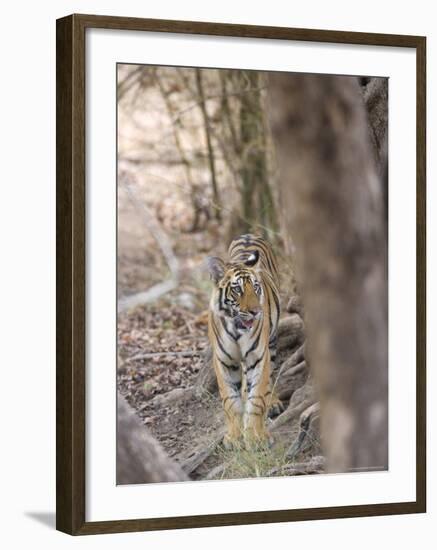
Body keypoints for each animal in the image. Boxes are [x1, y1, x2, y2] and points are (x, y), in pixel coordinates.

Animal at [207, 233, 282, 448]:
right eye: (237, 290)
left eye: (256, 288)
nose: (256, 312)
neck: (236, 330)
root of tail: (248, 234)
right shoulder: (223, 360)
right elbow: (230, 400)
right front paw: (234, 437)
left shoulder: (258, 357)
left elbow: (256, 397)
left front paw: (255, 437)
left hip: (271, 342)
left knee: (270, 375)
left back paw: (273, 403)